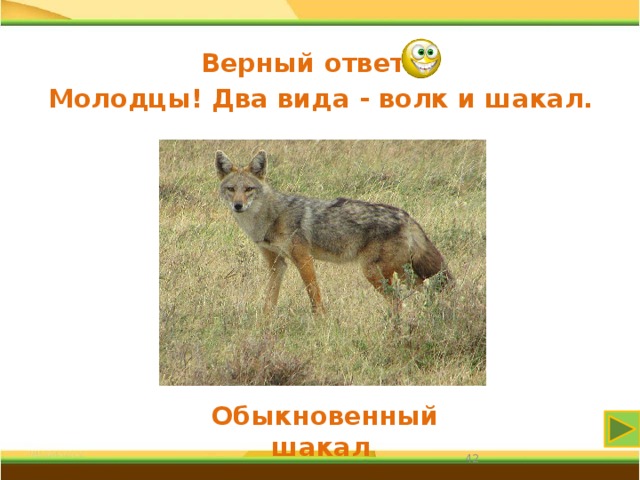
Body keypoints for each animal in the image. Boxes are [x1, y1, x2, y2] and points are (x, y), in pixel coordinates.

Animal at [215, 150, 452, 315]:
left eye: (248, 189)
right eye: (231, 189)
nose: (238, 206)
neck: (270, 217)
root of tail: (406, 216)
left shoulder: (304, 259)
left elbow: (315, 297)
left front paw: (320, 322)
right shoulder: (277, 264)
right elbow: (269, 302)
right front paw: (265, 326)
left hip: (375, 272)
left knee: (399, 302)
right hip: (401, 273)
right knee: (424, 292)